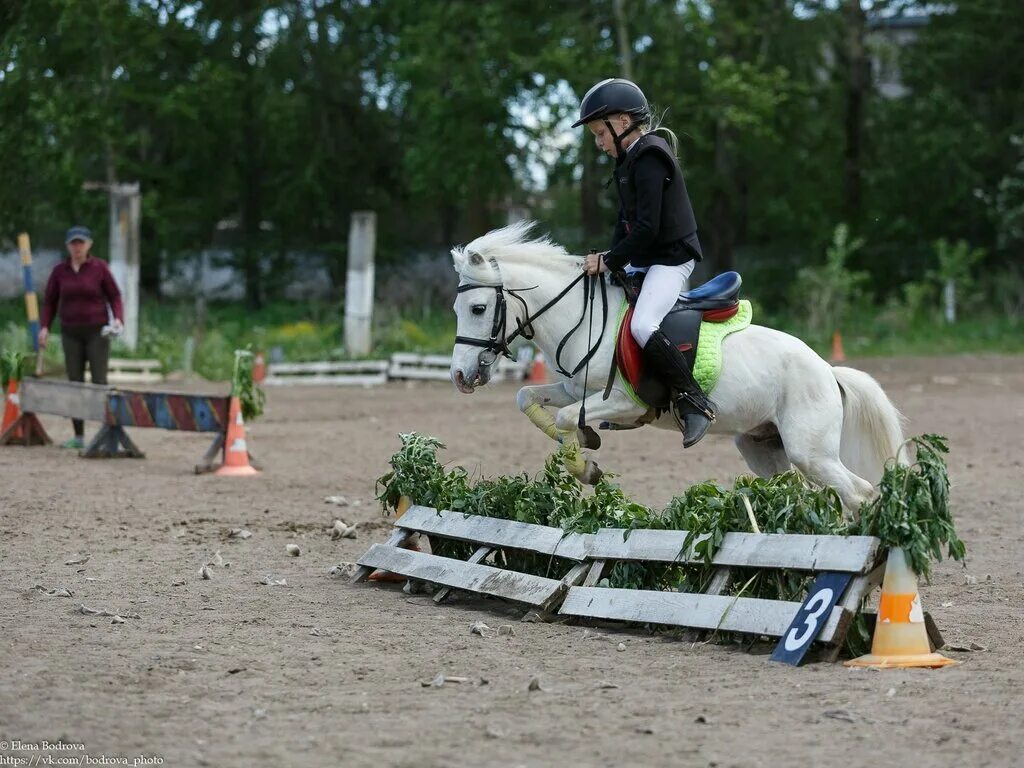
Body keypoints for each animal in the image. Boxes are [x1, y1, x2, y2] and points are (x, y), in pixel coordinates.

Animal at [450, 219, 905, 514]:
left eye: (477, 308)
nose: (459, 376)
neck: (582, 318)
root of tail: (828, 370)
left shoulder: (624, 402)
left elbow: (564, 418)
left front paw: (586, 465)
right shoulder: (572, 389)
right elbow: (528, 398)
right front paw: (584, 445)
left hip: (810, 452)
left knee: (859, 494)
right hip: (763, 449)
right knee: (804, 493)